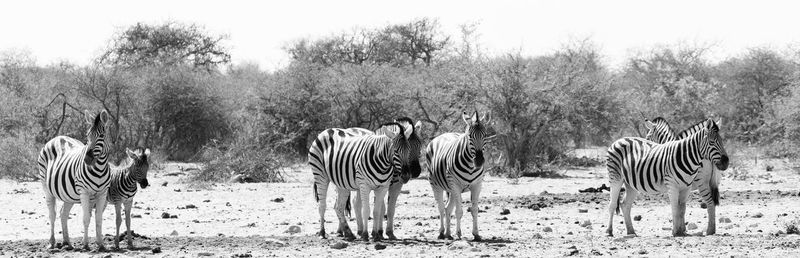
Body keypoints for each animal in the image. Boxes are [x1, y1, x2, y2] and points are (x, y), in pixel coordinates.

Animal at [38, 110, 114, 251]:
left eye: (102, 135)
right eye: (88, 135)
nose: (87, 159)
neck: (99, 168)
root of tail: (58, 137)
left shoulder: (102, 194)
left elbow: (98, 219)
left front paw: (101, 244)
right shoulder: (84, 192)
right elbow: (86, 219)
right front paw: (85, 244)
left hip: (69, 194)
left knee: (63, 213)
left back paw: (67, 242)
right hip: (46, 187)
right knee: (52, 214)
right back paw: (52, 242)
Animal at [428, 111, 490, 242]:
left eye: (485, 135)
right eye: (469, 136)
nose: (479, 161)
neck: (470, 166)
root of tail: (445, 134)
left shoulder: (477, 185)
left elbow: (475, 210)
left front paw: (476, 234)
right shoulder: (455, 185)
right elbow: (459, 212)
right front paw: (459, 233)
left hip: (451, 189)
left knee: (447, 208)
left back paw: (448, 234)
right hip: (436, 185)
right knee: (441, 208)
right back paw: (442, 233)